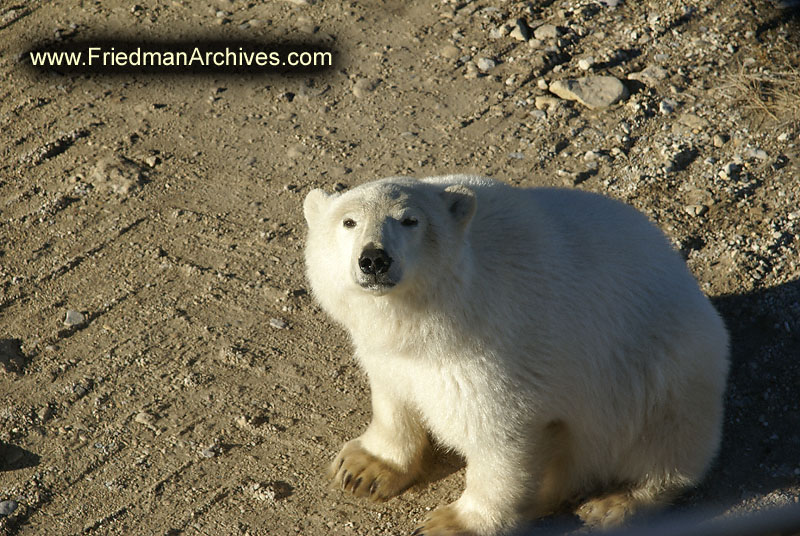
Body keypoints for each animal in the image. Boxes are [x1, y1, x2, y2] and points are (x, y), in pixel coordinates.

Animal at [304, 176, 728, 536]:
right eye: (348, 221)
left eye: (410, 220)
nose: (374, 259)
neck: (433, 319)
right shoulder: (386, 352)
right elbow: (393, 395)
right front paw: (363, 467)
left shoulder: (497, 348)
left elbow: (502, 436)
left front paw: (453, 523)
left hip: (665, 372)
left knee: (665, 446)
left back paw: (613, 503)